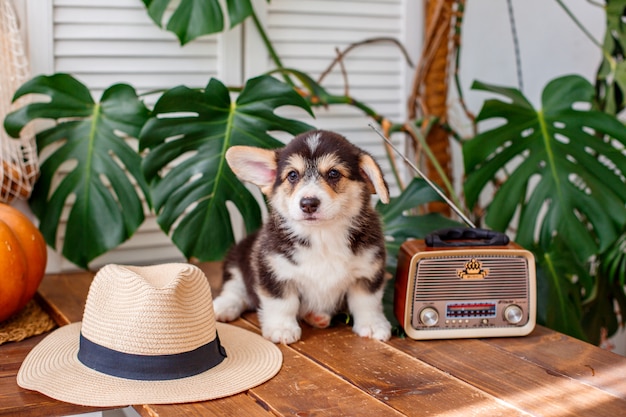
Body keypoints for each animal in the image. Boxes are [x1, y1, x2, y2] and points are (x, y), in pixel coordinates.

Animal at [213, 131, 390, 344]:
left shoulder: (367, 271)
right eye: (292, 175)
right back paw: (223, 307)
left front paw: (372, 325)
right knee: (235, 289)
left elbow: (367, 302)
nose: (308, 203)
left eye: (333, 173)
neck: (322, 236)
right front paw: (282, 328)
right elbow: (282, 303)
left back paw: (317, 316)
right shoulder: (275, 271)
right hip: (237, 258)